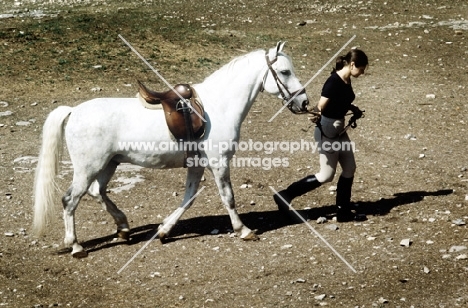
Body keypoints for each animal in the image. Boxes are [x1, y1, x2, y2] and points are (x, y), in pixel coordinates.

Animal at [33, 41, 310, 258]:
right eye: (284, 71)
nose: (304, 102)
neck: (218, 105)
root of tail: (73, 111)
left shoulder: (197, 166)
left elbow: (188, 198)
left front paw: (164, 231)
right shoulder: (220, 163)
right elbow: (228, 197)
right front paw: (243, 230)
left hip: (108, 164)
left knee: (96, 192)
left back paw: (123, 228)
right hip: (88, 167)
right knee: (71, 200)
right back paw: (76, 246)